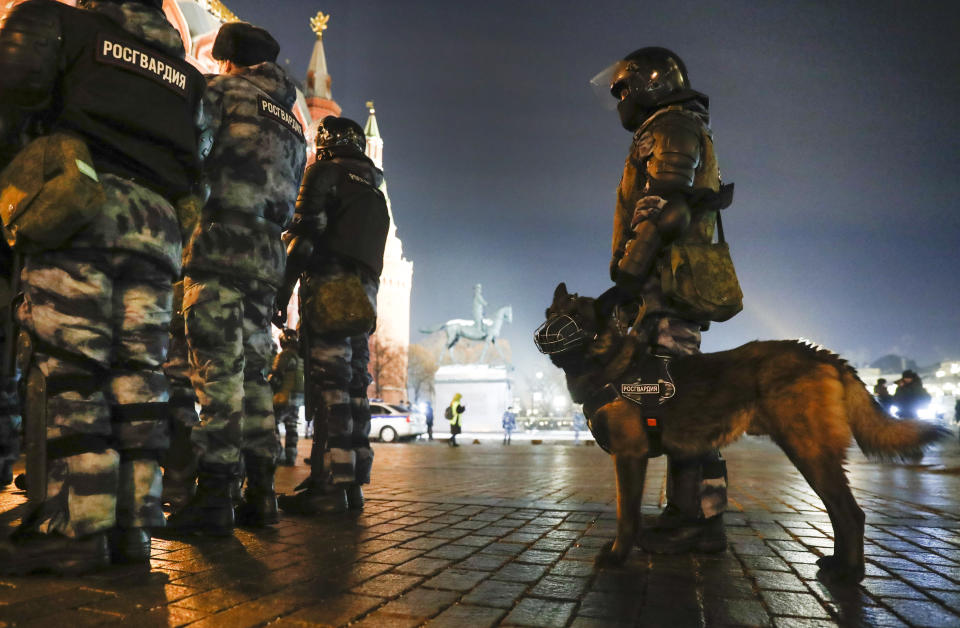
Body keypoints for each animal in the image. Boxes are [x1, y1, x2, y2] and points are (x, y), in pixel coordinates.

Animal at [536, 282, 948, 580]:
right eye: (552, 313)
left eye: (576, 317)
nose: (543, 335)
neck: (612, 365)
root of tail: (820, 353)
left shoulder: (629, 458)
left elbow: (627, 516)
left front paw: (617, 557)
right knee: (841, 513)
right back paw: (840, 565)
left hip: (808, 451)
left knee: (850, 514)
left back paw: (849, 573)